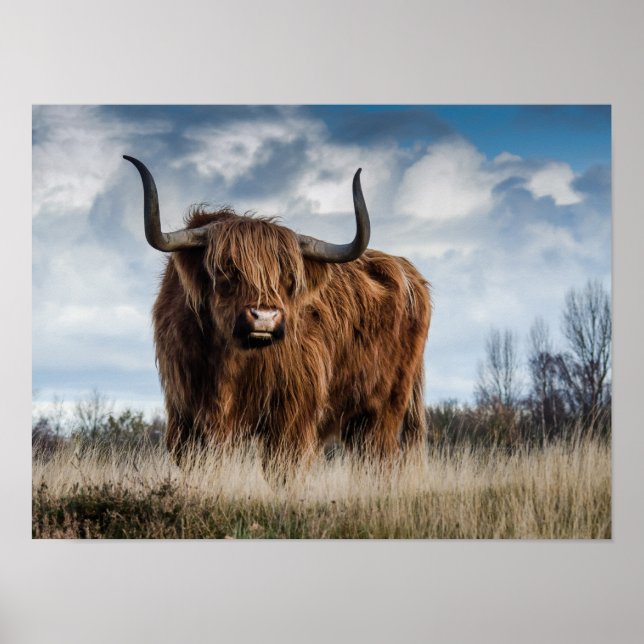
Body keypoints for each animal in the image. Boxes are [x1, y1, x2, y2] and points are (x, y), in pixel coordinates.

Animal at [124, 155, 431, 465]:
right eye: (226, 270)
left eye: (289, 277)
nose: (265, 317)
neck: (228, 362)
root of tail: (408, 271)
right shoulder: (185, 415)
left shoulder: (292, 416)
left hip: (383, 410)